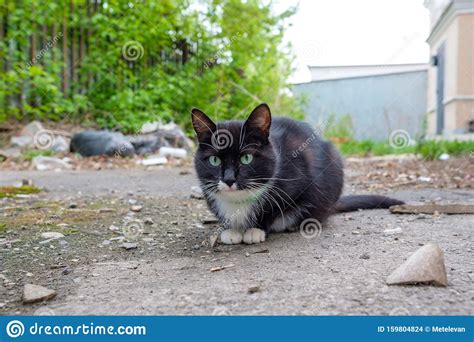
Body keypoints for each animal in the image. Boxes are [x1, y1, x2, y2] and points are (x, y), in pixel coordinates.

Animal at [191, 103, 402, 244]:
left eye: (246, 158)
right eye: (214, 160)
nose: (228, 179)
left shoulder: (296, 180)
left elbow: (273, 208)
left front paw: (255, 229)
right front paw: (232, 230)